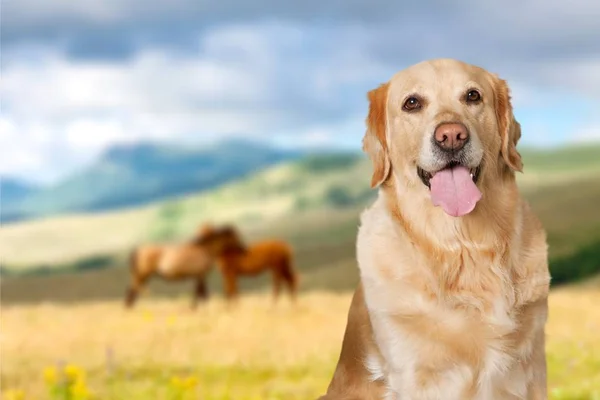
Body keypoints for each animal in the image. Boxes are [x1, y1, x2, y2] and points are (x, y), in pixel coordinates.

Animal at [322, 59, 552, 400]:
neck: (461, 245)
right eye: (412, 103)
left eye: (472, 96)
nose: (452, 135)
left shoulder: (531, 367)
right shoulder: (415, 373)